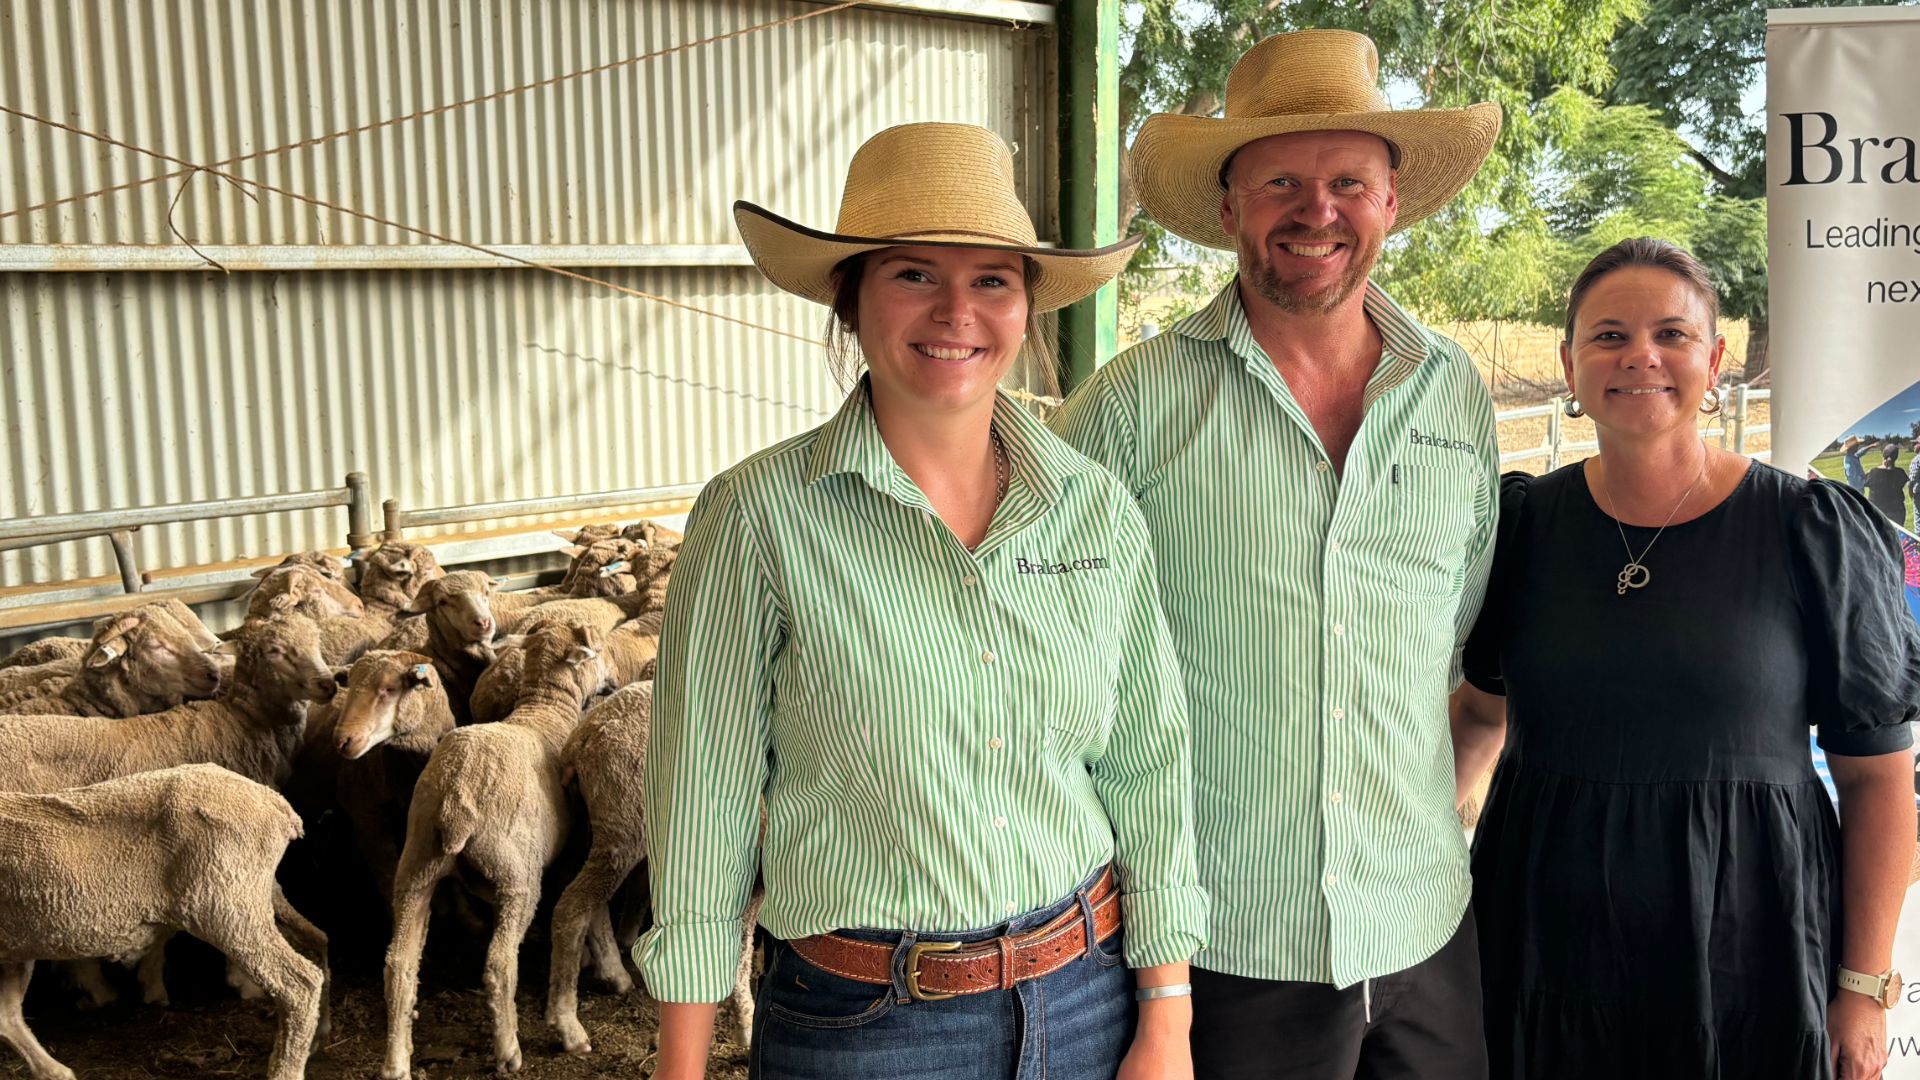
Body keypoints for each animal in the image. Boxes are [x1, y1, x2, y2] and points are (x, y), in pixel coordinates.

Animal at [0, 760, 328, 1076]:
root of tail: (275, 803)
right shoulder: (14, 950)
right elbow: (8, 1016)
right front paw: (53, 1072)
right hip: (257, 896)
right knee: (316, 941)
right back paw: (318, 1035)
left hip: (226, 904)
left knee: (299, 984)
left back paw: (285, 1069)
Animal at [380, 618, 606, 1068]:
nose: (609, 684)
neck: (545, 710)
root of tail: (454, 798)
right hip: (515, 876)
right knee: (499, 963)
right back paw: (509, 1050)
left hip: (416, 865)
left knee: (398, 963)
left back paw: (396, 1062)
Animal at [545, 680, 760, 1053]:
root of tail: (581, 739)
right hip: (623, 826)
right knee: (572, 909)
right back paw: (568, 1024)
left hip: (601, 830)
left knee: (590, 902)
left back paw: (612, 974)